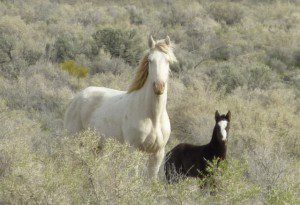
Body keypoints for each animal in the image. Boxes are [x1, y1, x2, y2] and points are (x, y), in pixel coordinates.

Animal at [63, 36, 176, 179]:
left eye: (168, 61)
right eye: (150, 60)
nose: (159, 87)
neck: (153, 117)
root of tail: (76, 98)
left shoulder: (157, 154)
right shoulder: (133, 149)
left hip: (96, 147)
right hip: (74, 141)